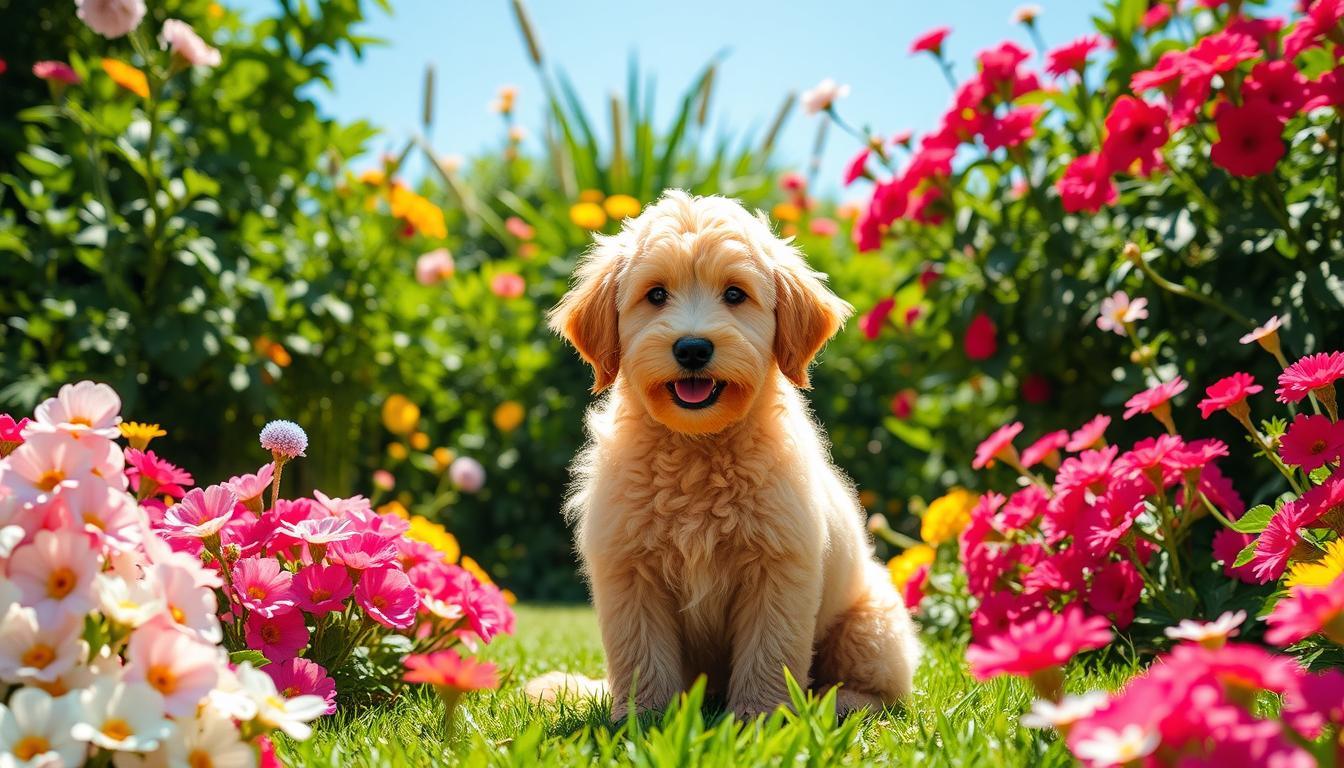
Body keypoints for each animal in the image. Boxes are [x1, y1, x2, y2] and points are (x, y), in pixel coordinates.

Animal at [534, 189, 924, 720]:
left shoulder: (777, 571)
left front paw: (762, 718)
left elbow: (769, 653)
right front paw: (641, 719)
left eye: (735, 295)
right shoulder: (630, 571)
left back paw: (837, 701)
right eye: (656, 295)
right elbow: (641, 656)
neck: (698, 448)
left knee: (885, 692)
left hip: (871, 625)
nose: (693, 349)